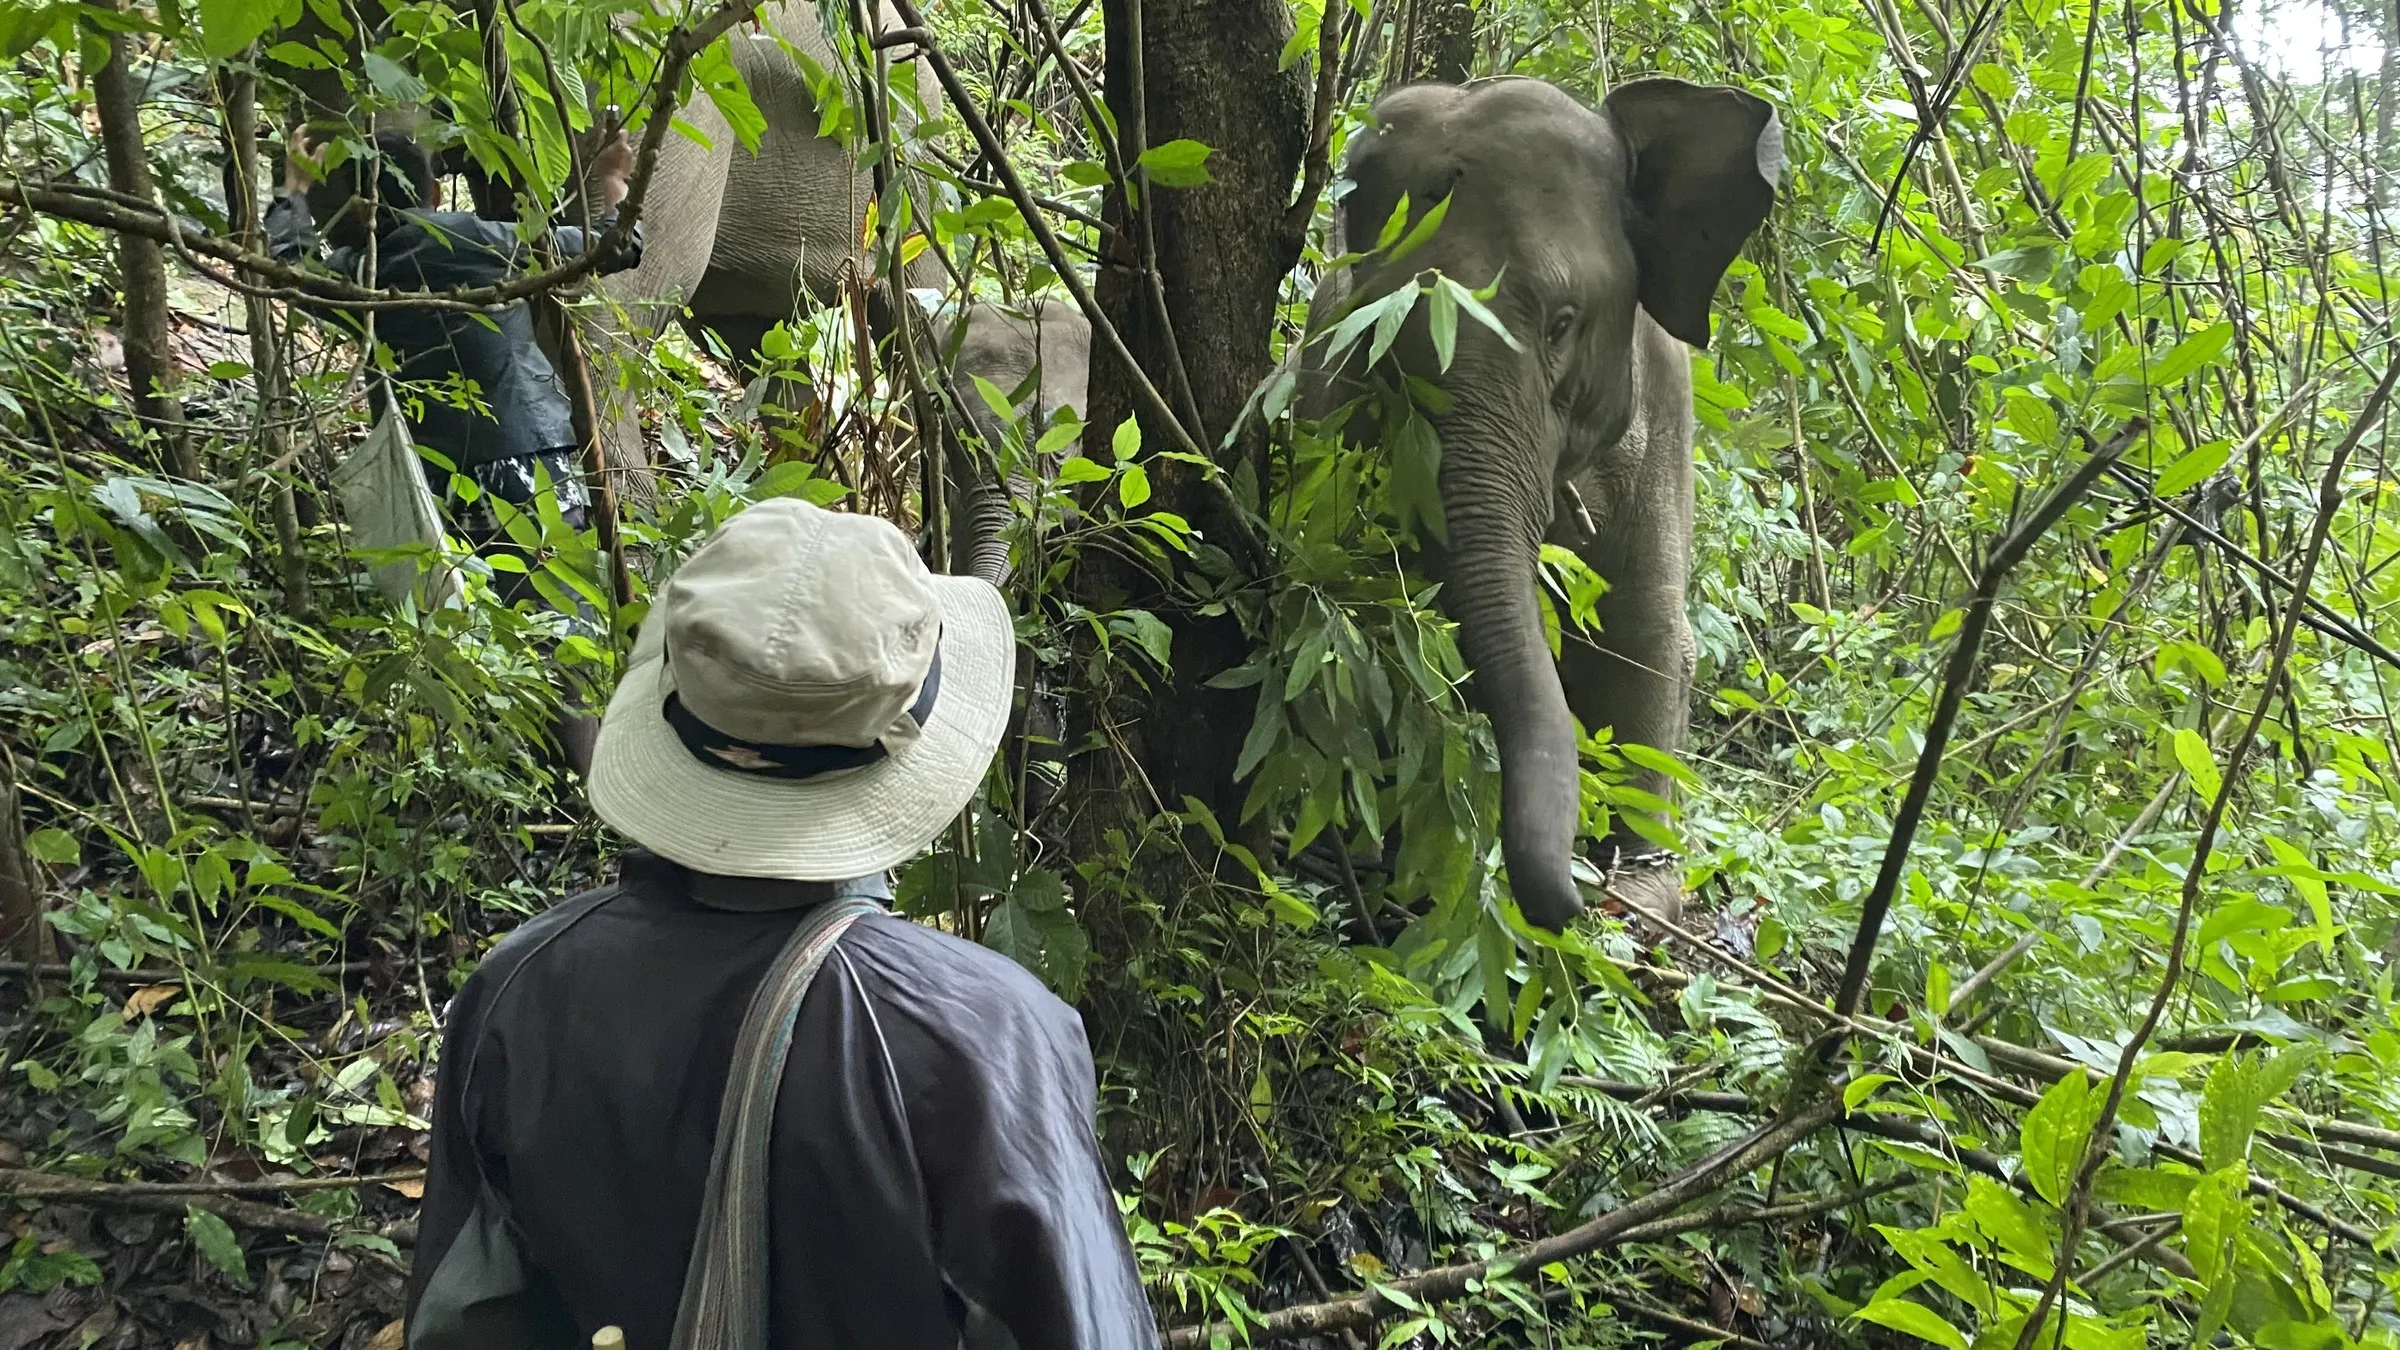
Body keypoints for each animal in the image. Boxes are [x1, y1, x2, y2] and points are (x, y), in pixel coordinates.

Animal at [1303, 75, 1782, 932]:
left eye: (1563, 323)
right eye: (1382, 353)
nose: (1570, 899)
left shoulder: (1669, 409)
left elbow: (1648, 635)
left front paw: (1640, 896)